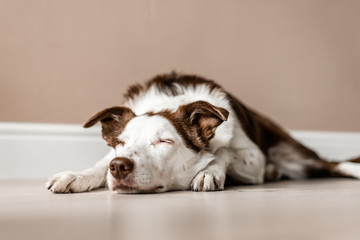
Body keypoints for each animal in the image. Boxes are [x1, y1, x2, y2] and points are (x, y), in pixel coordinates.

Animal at [46, 72, 358, 193]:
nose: (119, 166)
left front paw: (209, 171)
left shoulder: (253, 157)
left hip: (293, 154)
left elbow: (224, 150)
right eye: (119, 144)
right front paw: (77, 176)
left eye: (164, 141)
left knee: (332, 164)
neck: (170, 102)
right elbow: (98, 165)